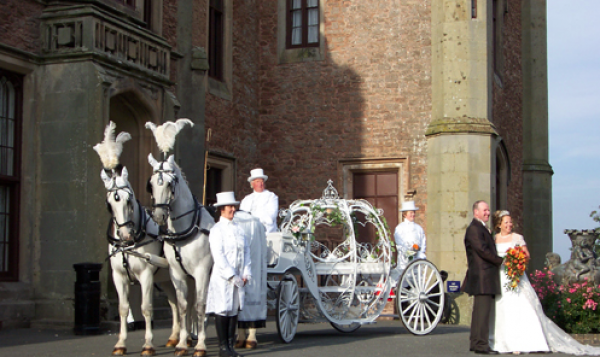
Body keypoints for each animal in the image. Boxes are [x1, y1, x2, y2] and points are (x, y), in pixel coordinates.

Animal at [102, 168, 182, 356]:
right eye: (109, 204)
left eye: (129, 199)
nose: (125, 234)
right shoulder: (119, 276)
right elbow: (123, 308)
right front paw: (121, 343)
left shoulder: (146, 275)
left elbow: (146, 308)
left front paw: (147, 345)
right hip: (167, 280)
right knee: (174, 303)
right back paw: (174, 337)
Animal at [146, 154, 216, 356]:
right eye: (151, 184)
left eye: (170, 183)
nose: (159, 216)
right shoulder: (178, 273)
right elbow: (184, 306)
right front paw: (183, 344)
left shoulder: (202, 272)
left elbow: (201, 306)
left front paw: (200, 346)